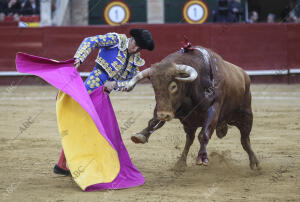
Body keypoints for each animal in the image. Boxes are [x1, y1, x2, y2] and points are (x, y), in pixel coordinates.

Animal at [125, 45, 258, 170]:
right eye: (154, 86)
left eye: (173, 86)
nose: (164, 115)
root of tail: (244, 75)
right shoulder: (169, 109)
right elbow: (153, 121)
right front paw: (141, 135)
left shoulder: (213, 109)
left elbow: (204, 134)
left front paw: (202, 158)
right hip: (190, 123)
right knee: (189, 139)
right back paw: (180, 163)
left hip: (246, 116)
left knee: (245, 140)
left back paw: (255, 163)